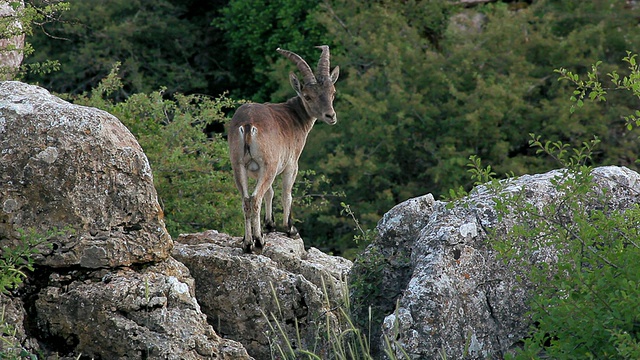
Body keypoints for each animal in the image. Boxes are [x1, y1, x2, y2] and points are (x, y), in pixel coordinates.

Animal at [229, 45, 340, 253]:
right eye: (308, 96)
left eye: (333, 92)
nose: (331, 116)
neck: (294, 115)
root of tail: (247, 125)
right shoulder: (291, 164)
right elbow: (286, 194)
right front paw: (290, 229)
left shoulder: (255, 170)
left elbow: (270, 193)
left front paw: (270, 225)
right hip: (269, 165)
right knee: (255, 199)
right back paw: (258, 241)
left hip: (238, 165)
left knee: (246, 200)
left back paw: (247, 243)